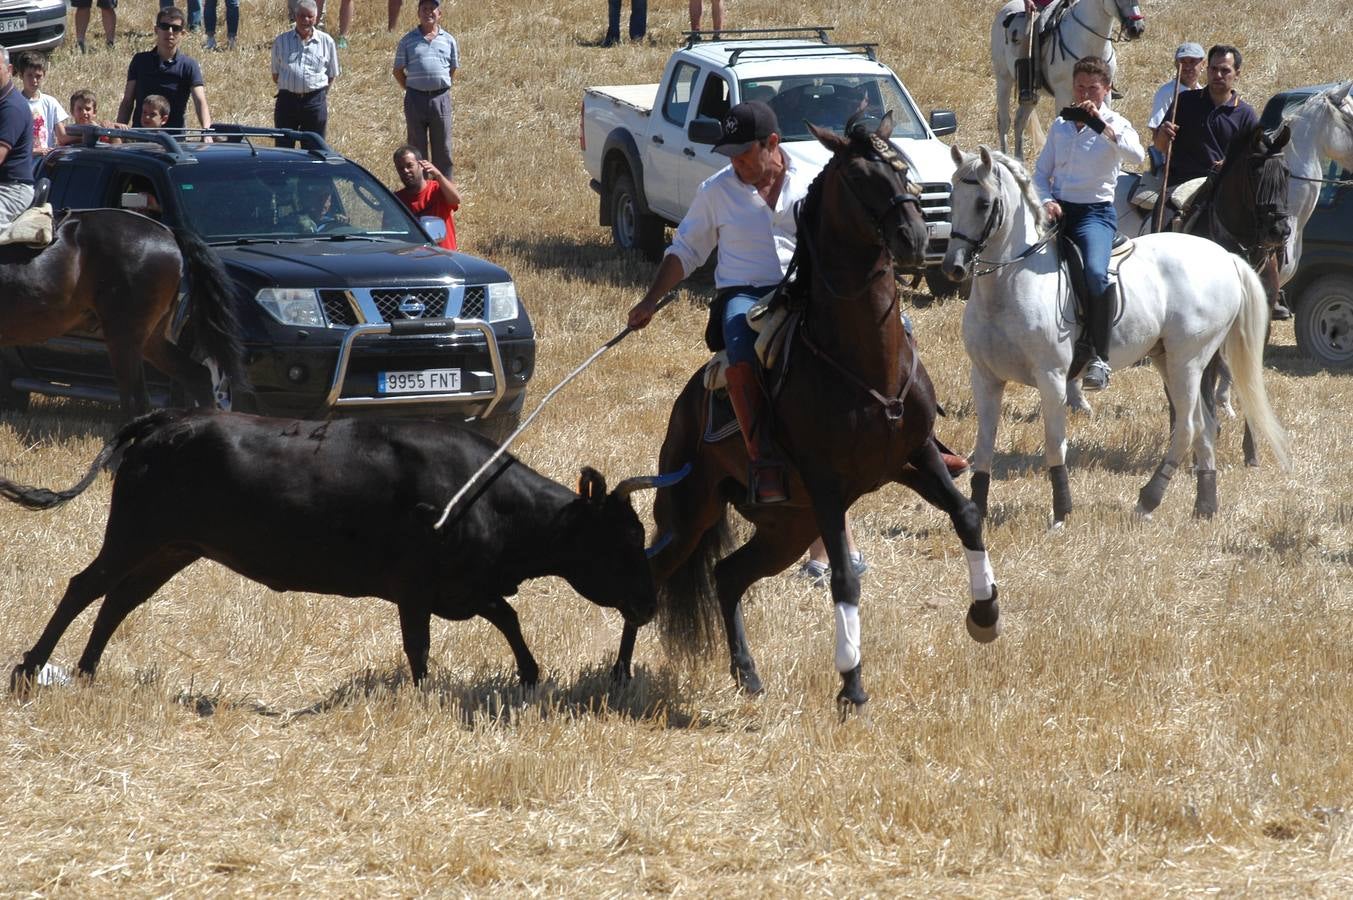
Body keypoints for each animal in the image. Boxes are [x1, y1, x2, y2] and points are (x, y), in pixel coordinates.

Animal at [614, 112, 1006, 709]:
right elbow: (844, 576)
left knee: (727, 576)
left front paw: (985, 615)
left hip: (786, 528)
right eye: (861, 179)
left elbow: (966, 515)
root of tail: (684, 407)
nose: (915, 237)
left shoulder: (914, 456)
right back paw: (620, 675)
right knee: (657, 571)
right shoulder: (826, 487)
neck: (863, 361)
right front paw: (852, 684)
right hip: (691, 512)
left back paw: (747, 672)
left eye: (901, 170)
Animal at [941, 145, 1288, 527]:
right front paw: (977, 510)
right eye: (952, 197)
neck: (1009, 283)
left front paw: (1061, 512)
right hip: (1169, 359)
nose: (953, 267)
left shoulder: (1051, 377)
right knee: (1204, 425)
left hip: (1188, 360)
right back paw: (1204, 505)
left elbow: (1054, 443)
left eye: (984, 203)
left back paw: (1149, 500)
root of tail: (1224, 256)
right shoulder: (985, 377)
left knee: (1187, 426)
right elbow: (984, 446)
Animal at [990, 0, 1147, 157]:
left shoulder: (1105, 95)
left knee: (1020, 121)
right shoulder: (1063, 95)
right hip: (1003, 79)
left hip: (1033, 93)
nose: (1137, 29)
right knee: (1004, 121)